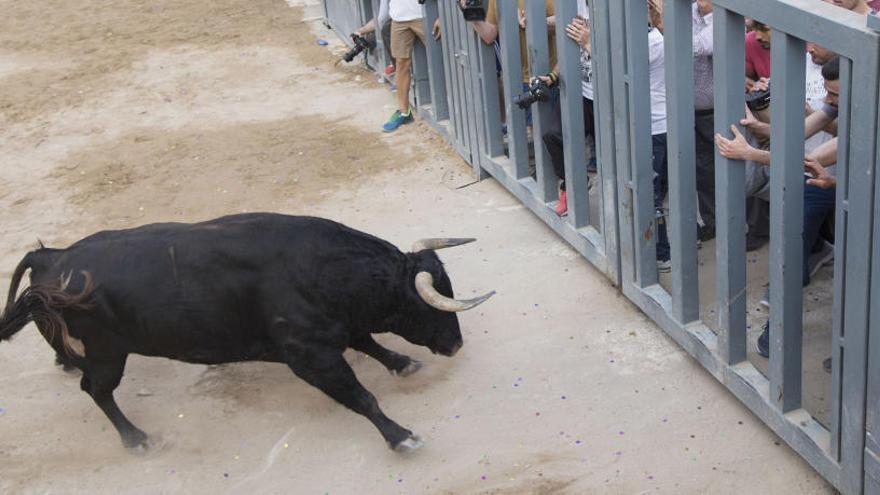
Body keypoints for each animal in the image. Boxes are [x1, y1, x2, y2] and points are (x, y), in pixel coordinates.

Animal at [0, 214, 496, 454]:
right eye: (426, 303)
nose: (455, 343)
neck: (319, 269)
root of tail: (53, 257)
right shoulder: (309, 356)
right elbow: (362, 397)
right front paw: (401, 436)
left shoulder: (332, 331)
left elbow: (367, 341)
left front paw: (402, 362)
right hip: (109, 355)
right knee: (97, 390)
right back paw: (137, 439)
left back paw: (65, 361)